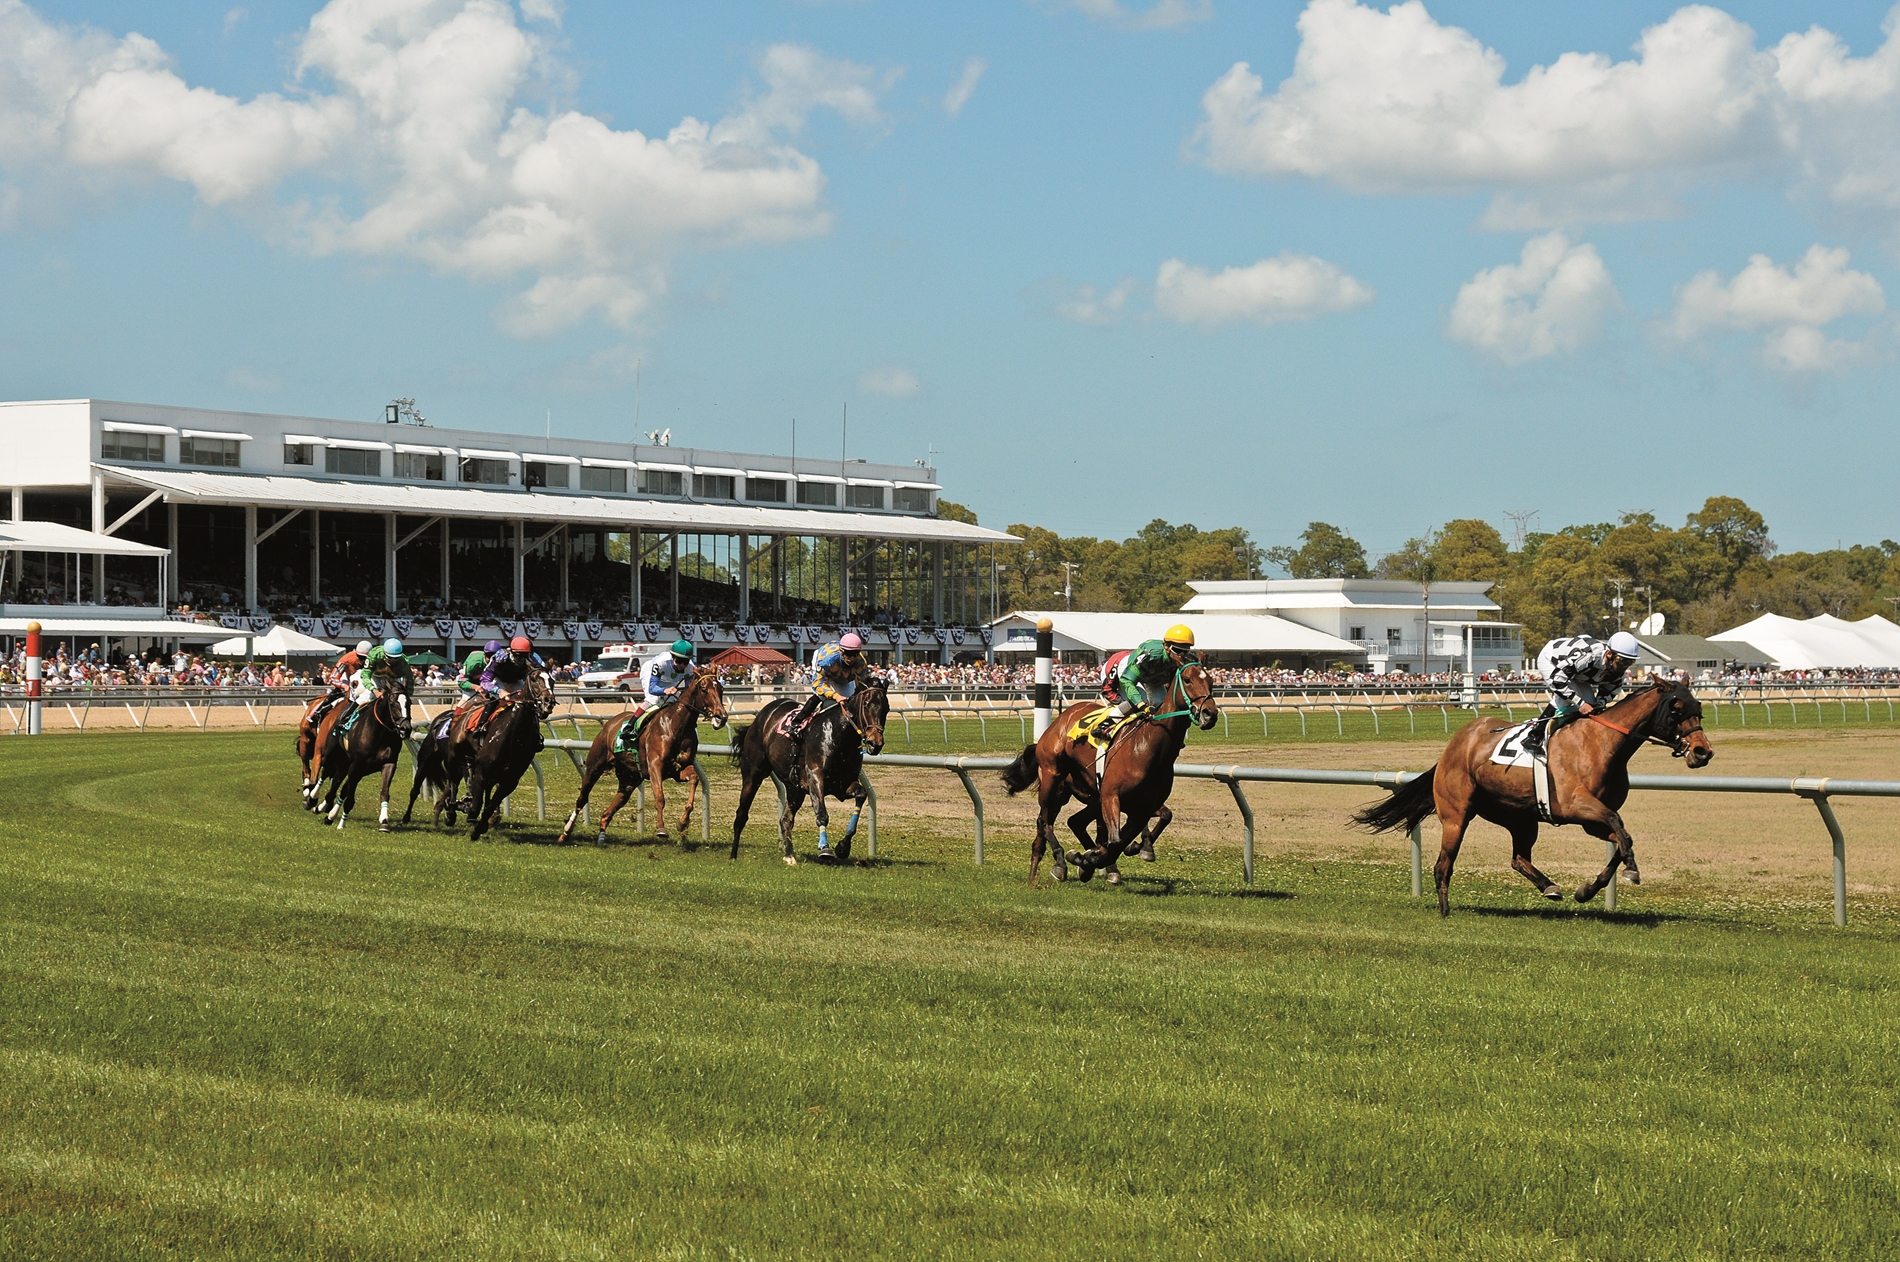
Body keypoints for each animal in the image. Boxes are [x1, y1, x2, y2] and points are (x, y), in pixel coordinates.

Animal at [309, 684, 414, 832]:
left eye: (409, 703)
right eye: (393, 703)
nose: (406, 729)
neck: (380, 733)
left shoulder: (388, 764)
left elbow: (384, 793)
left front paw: (384, 821)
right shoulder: (356, 765)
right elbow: (349, 799)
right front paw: (341, 824)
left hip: (348, 766)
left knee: (337, 786)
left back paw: (327, 813)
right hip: (333, 756)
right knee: (326, 774)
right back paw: (312, 800)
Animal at [554, 676, 725, 843]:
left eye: (721, 689)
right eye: (704, 689)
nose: (721, 717)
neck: (675, 726)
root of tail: (610, 724)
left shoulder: (678, 769)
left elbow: (695, 778)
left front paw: (682, 822)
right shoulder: (655, 765)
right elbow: (659, 797)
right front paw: (661, 829)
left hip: (629, 779)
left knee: (609, 810)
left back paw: (601, 837)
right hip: (594, 767)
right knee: (582, 799)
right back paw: (566, 832)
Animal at [725, 680, 889, 866]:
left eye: (886, 708)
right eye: (866, 705)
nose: (875, 743)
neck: (839, 737)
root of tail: (762, 715)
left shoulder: (842, 785)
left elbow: (861, 795)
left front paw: (843, 846)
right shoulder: (814, 778)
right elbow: (821, 813)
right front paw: (825, 848)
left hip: (794, 788)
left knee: (785, 820)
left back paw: (789, 855)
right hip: (753, 775)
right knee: (741, 814)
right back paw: (733, 854)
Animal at [995, 661, 1216, 885]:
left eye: (1211, 681)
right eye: (1187, 680)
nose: (1210, 714)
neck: (1149, 746)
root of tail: (1059, 720)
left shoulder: (1142, 808)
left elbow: (1138, 831)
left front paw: (1108, 856)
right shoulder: (1112, 796)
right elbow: (1115, 841)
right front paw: (1088, 859)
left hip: (1086, 795)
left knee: (1071, 822)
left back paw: (1046, 869)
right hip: (1053, 779)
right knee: (1045, 821)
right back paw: (1058, 864)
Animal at [1352, 680, 1725, 916]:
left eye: (1699, 708)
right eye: (1676, 709)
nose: (1702, 752)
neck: (1602, 743)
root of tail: (1454, 745)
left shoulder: (1590, 820)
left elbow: (1622, 839)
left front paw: (1587, 890)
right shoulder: (1577, 805)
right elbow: (1619, 827)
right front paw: (1632, 872)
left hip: (1520, 816)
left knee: (1518, 858)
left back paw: (1549, 886)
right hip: (1457, 814)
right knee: (1444, 863)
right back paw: (1445, 910)